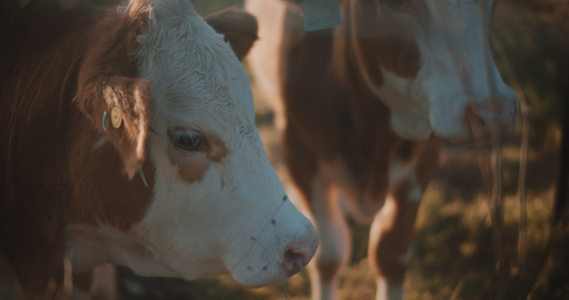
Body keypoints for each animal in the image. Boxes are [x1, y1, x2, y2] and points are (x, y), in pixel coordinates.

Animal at [246, 0, 516, 300]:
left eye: (494, 3)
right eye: (397, 4)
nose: (492, 112)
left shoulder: (424, 159)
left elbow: (391, 254)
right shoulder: (299, 154)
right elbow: (329, 257)